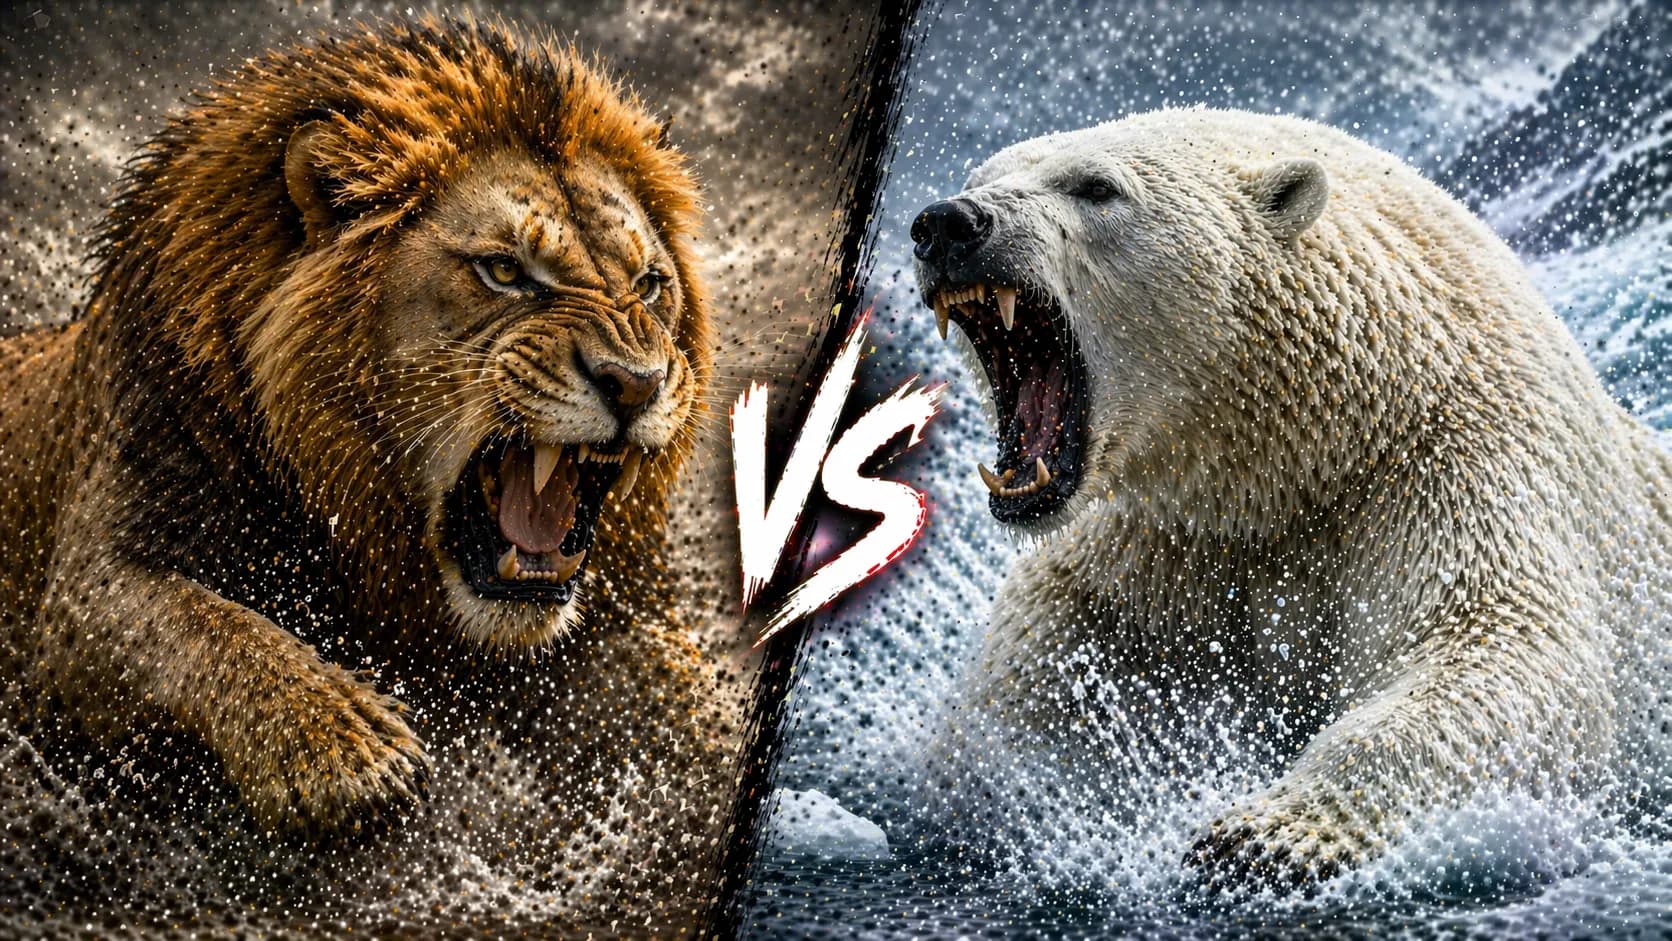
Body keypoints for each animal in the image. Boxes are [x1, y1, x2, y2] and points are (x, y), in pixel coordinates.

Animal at [0, 12, 724, 868]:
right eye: (504, 272)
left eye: (649, 283)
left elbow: (679, 693)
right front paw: (341, 747)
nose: (637, 382)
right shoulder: (87, 588)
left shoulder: (621, 608)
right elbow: (202, 624)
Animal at [909, 107, 1672, 890]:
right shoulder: (1151, 544)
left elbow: (1500, 648)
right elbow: (1033, 685)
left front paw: (1265, 834)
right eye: (982, 174)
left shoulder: (1452, 469)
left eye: (1096, 186)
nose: (949, 222)